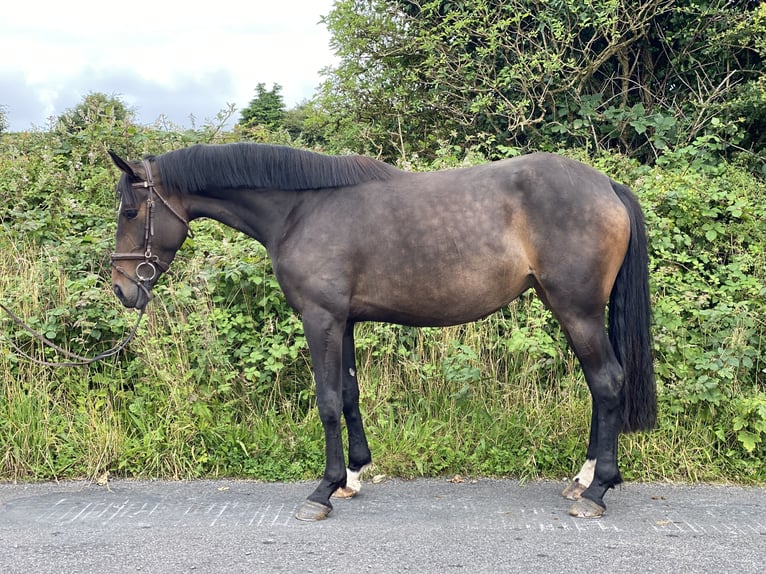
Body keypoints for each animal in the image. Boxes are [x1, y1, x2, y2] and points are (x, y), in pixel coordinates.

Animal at [108, 144, 656, 520]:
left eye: (131, 212)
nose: (122, 288)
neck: (301, 210)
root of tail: (607, 186)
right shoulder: (344, 321)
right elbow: (349, 395)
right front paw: (351, 475)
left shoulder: (320, 318)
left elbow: (328, 400)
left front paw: (322, 491)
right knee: (598, 385)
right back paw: (583, 479)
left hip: (576, 309)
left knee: (606, 381)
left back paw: (597, 491)